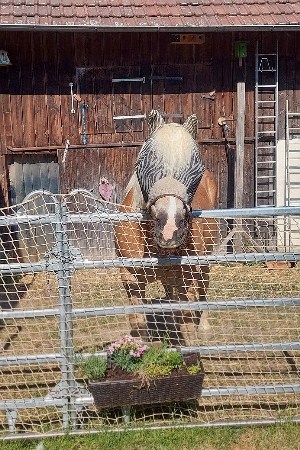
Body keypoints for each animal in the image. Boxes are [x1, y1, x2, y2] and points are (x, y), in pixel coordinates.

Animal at [113, 110, 217, 344]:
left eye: (197, 168)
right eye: (144, 161)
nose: (170, 229)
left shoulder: (187, 280)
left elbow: (188, 327)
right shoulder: (131, 282)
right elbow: (139, 324)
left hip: (205, 260)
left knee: (204, 287)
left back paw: (204, 326)